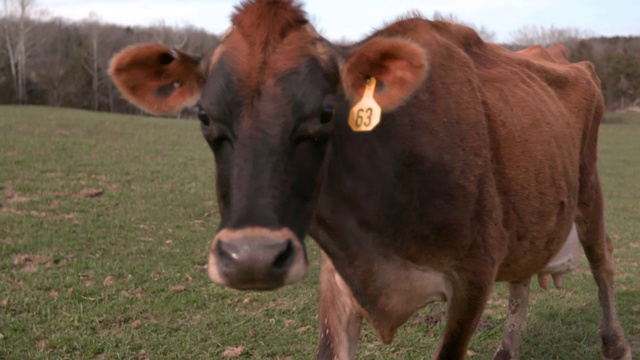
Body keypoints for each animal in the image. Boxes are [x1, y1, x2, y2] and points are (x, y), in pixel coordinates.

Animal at [107, 0, 632, 360]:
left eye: (326, 112)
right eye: (203, 115)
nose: (251, 258)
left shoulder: (475, 273)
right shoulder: (337, 279)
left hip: (588, 189)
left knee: (602, 258)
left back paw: (616, 344)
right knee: (523, 279)